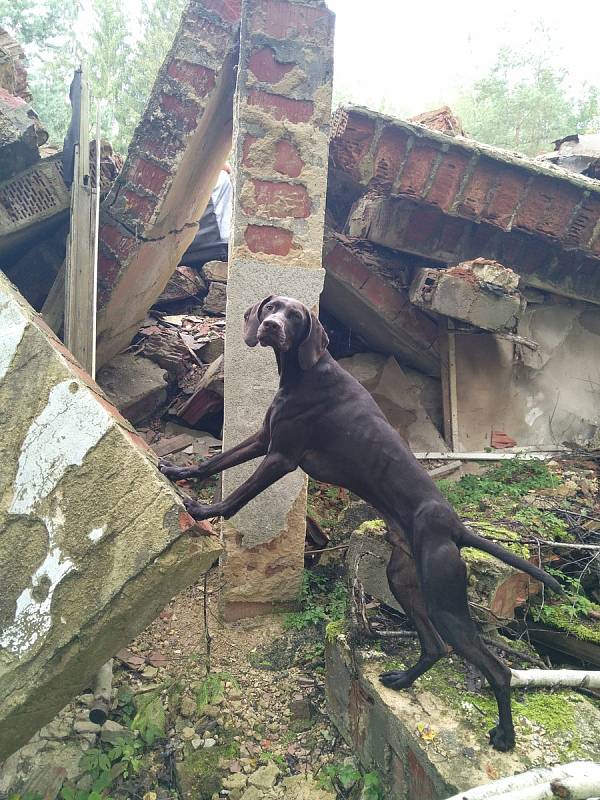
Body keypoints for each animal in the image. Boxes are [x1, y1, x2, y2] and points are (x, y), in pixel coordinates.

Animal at [161, 296, 564, 752]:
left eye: (295, 317)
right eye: (272, 307)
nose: (270, 327)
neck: (305, 372)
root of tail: (455, 529)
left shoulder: (282, 456)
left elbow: (238, 495)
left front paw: (202, 511)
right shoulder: (264, 440)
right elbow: (213, 463)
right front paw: (175, 471)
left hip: (446, 603)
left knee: (497, 669)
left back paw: (505, 735)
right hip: (403, 580)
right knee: (434, 647)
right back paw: (403, 680)